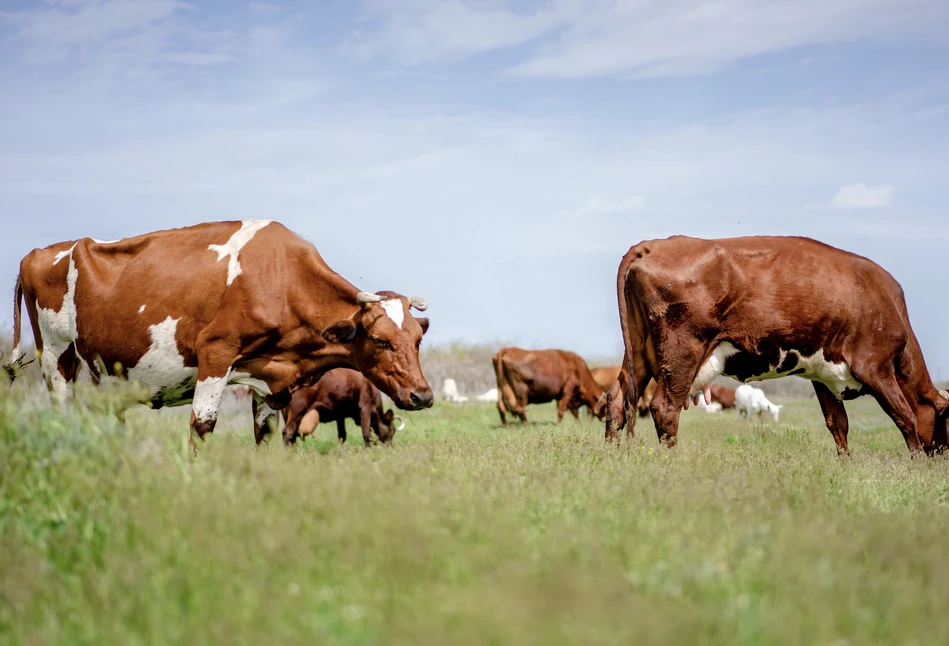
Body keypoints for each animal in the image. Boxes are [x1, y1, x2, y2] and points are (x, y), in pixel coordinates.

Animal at [2, 220, 434, 448]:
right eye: (380, 340)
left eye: (417, 340)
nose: (423, 395)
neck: (281, 278)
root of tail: (38, 253)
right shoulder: (215, 352)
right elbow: (202, 428)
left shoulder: (268, 378)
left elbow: (265, 433)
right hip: (56, 359)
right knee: (63, 414)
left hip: (102, 374)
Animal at [608, 234, 948, 456]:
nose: (942, 456)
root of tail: (654, 244)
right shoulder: (876, 367)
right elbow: (905, 417)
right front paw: (916, 465)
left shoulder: (822, 376)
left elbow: (838, 425)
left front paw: (846, 465)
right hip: (681, 354)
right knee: (665, 408)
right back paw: (672, 462)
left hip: (638, 354)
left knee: (616, 401)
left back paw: (612, 455)